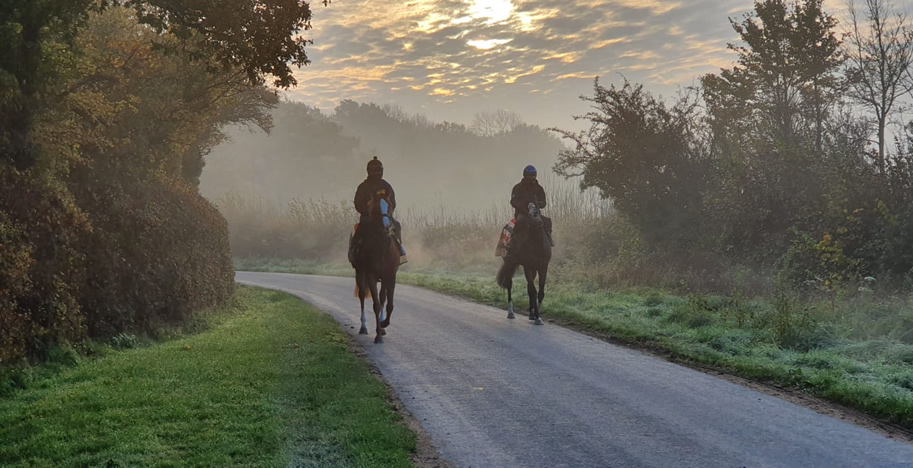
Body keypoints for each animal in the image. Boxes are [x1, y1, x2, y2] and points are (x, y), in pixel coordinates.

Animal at [352, 197, 401, 343]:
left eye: (389, 206)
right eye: (376, 208)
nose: (386, 225)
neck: (382, 249)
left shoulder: (390, 275)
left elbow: (388, 303)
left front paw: (384, 324)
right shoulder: (370, 275)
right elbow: (376, 305)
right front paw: (378, 335)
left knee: (383, 298)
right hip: (359, 273)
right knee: (362, 295)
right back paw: (363, 327)